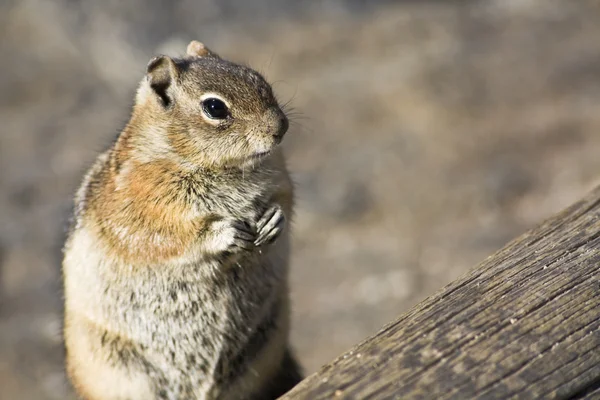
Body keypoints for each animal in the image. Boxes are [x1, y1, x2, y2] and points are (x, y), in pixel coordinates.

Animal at [62, 40, 300, 400]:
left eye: (257, 78)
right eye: (215, 108)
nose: (280, 127)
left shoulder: (281, 178)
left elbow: (284, 200)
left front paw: (274, 220)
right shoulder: (142, 209)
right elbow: (171, 236)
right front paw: (225, 233)